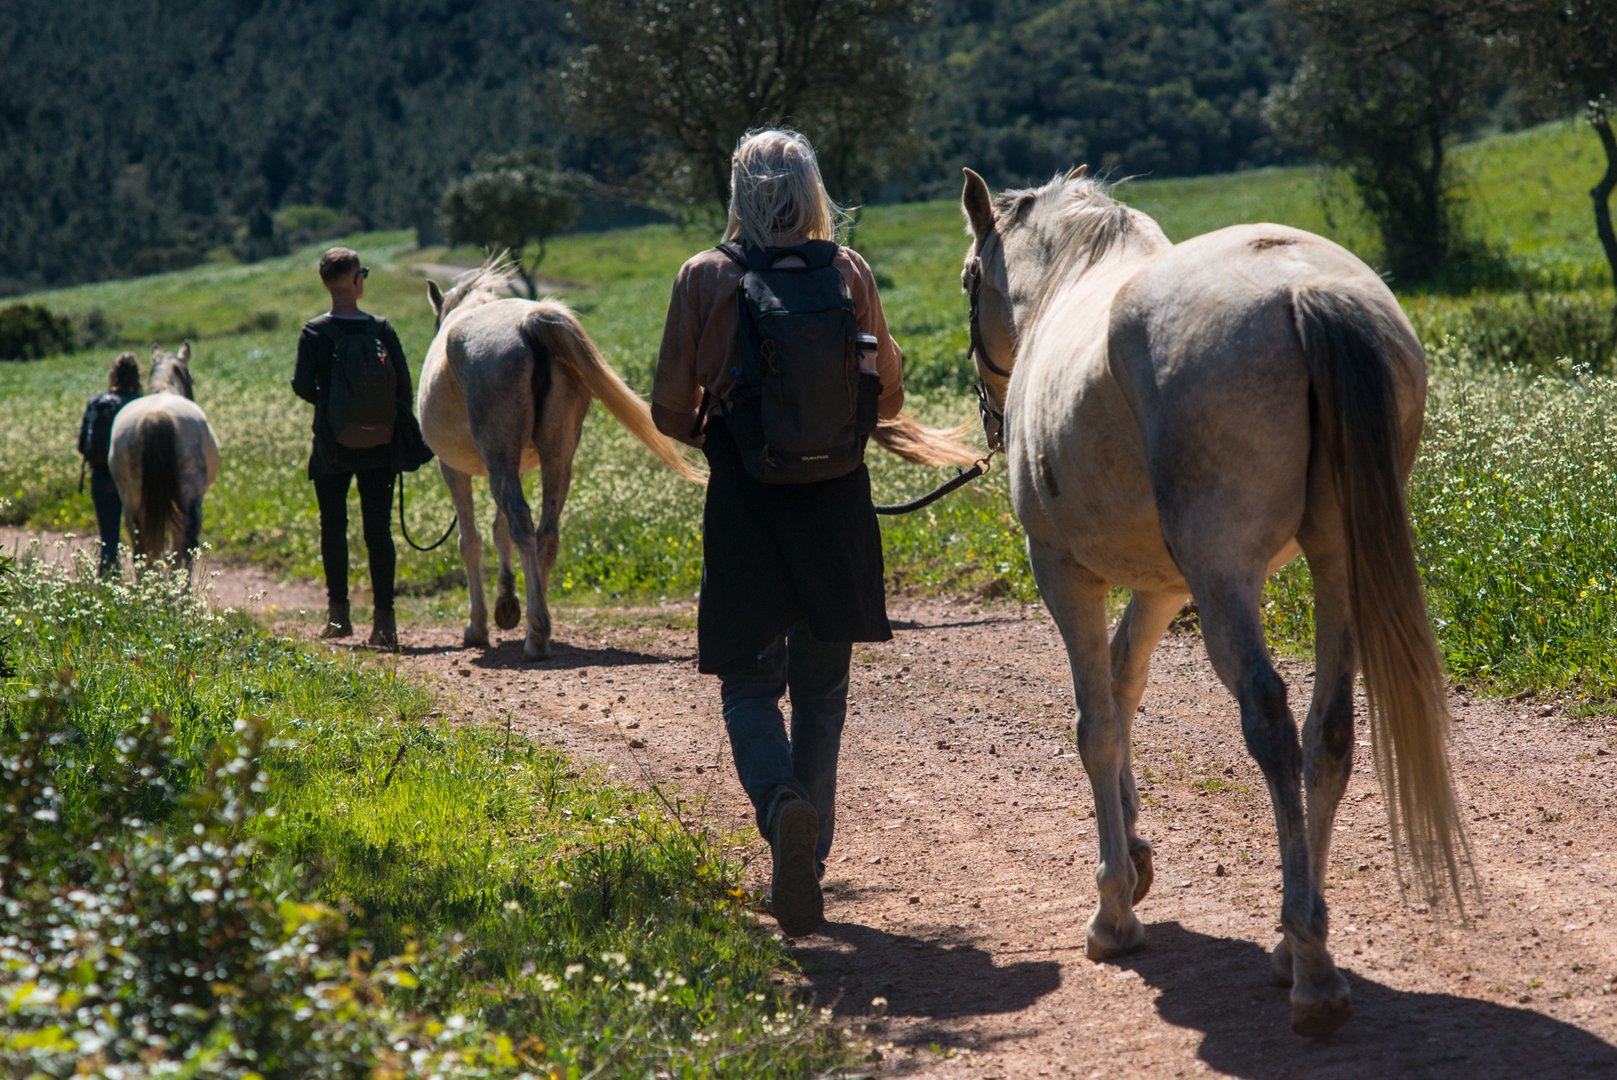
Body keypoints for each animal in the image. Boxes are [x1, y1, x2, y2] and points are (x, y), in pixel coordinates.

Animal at [107, 342, 221, 571]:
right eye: (192, 379)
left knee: (140, 549)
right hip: (189, 499)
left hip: (131, 502)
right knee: (185, 546)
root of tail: (156, 415)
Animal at [418, 259, 705, 661]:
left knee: (523, 524)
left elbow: (471, 541)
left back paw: (537, 636)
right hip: (557, 458)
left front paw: (478, 626)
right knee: (546, 533)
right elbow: (499, 530)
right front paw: (507, 605)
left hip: (502, 460)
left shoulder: (456, 469)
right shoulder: (516, 467)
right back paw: (537, 622)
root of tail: (529, 325)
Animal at [959, 166, 1473, 1036]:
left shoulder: (1063, 572)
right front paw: (1133, 858)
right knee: (1327, 733)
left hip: (1224, 573)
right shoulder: (1163, 588)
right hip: (1334, 563)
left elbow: (1095, 725)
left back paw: (1311, 971)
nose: (992, 420)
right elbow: (1124, 688)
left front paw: (1113, 913)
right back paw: (1293, 945)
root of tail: (1302, 287)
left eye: (968, 280)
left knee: (1269, 721)